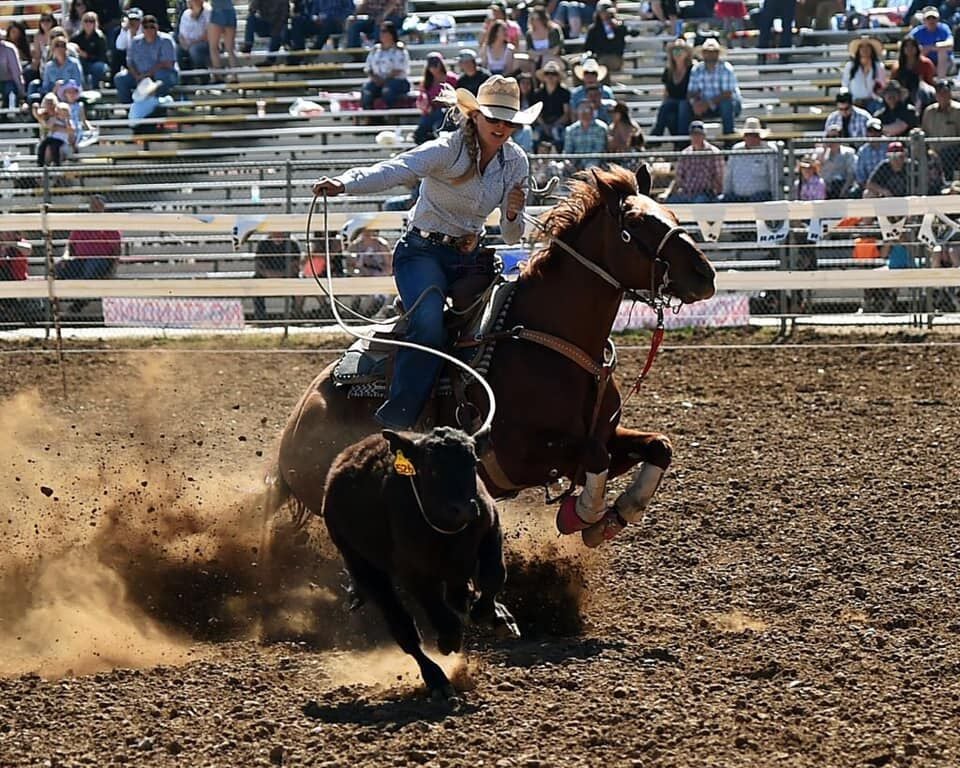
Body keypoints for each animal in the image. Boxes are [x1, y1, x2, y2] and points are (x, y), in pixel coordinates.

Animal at [266, 164, 716, 544]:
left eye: (671, 213)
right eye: (636, 224)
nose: (705, 275)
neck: (547, 337)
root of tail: (299, 417)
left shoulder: (604, 434)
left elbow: (658, 445)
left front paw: (619, 513)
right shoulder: (517, 456)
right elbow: (594, 456)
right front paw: (584, 514)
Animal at [322, 426, 516, 704]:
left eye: (473, 462)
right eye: (432, 468)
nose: (465, 509)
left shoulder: (490, 527)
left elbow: (494, 575)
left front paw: (493, 615)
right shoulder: (413, 572)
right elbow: (438, 609)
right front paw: (448, 639)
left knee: (459, 594)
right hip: (363, 565)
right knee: (404, 629)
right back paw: (437, 680)